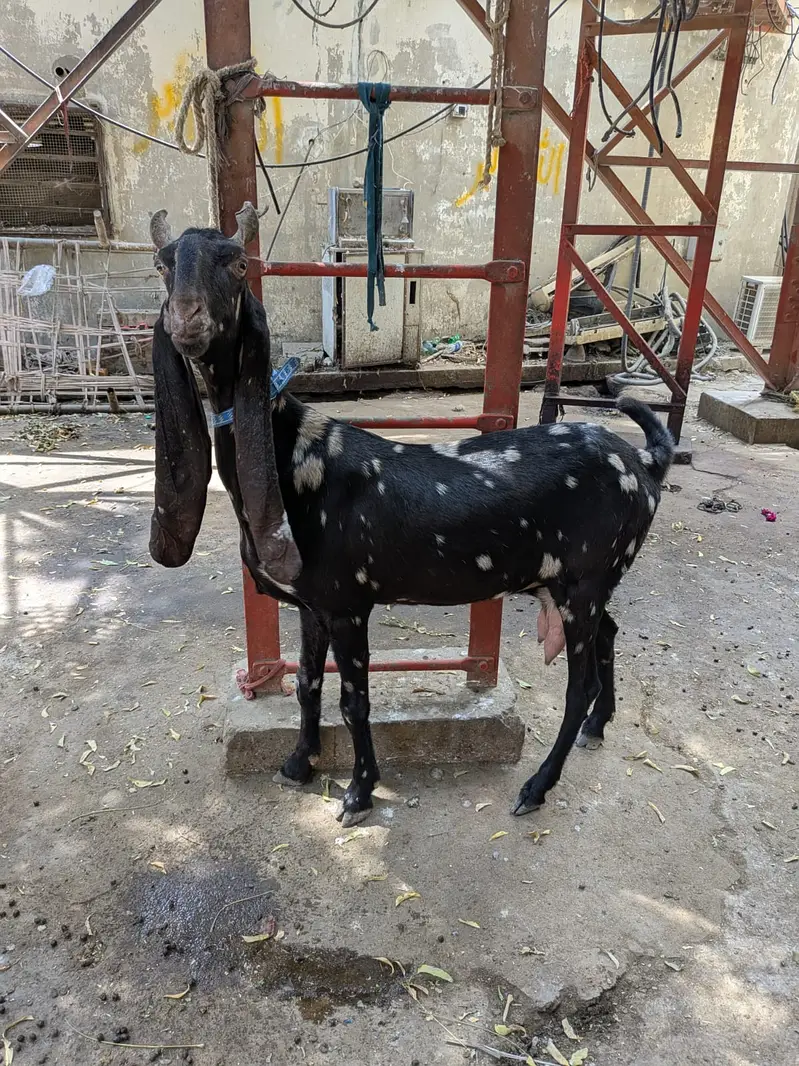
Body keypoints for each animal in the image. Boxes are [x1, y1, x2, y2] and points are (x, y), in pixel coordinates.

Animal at [149, 209, 675, 827]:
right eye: (163, 263)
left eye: (235, 264)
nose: (186, 318)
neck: (292, 456)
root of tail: (644, 462)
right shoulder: (311, 605)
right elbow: (306, 684)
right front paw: (299, 764)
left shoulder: (348, 604)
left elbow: (354, 701)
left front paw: (358, 793)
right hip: (577, 582)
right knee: (610, 635)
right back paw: (597, 727)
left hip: (585, 580)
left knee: (580, 684)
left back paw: (538, 785)